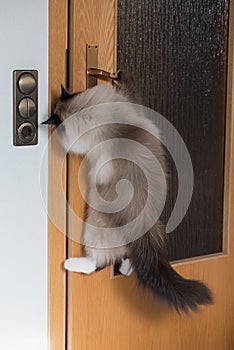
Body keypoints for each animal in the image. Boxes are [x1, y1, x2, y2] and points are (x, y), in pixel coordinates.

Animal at [42, 71, 212, 312]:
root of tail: (145, 224)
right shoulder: (133, 104)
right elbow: (131, 89)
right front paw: (119, 77)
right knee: (128, 259)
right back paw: (124, 268)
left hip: (94, 228)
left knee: (99, 262)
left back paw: (69, 263)